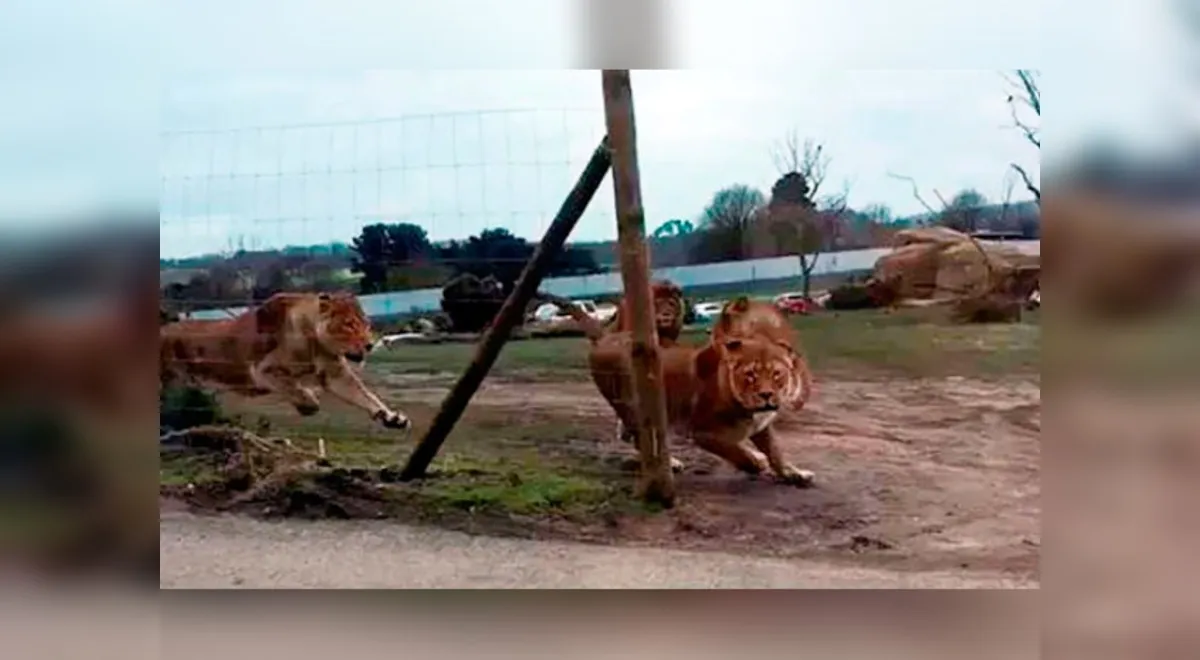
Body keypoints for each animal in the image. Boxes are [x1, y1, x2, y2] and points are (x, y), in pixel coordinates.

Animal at [159, 292, 412, 432]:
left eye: (367, 324)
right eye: (349, 325)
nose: (369, 344)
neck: (316, 341)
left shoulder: (336, 374)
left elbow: (366, 396)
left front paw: (391, 418)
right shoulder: (263, 370)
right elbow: (293, 387)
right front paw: (308, 403)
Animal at [544, 292, 816, 489]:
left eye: (777, 374)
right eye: (750, 375)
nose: (767, 395)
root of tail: (605, 336)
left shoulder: (761, 425)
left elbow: (776, 451)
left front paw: (794, 474)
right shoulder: (703, 432)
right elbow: (736, 450)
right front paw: (755, 462)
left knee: (632, 435)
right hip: (630, 403)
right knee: (638, 436)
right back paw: (668, 464)